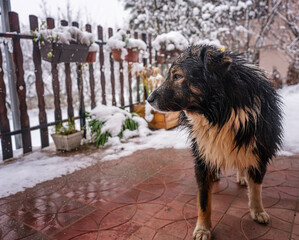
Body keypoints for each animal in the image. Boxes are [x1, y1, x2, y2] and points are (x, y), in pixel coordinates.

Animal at [148, 45, 284, 240]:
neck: (222, 114)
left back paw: (243, 177)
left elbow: (256, 189)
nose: (148, 99)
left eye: (178, 76)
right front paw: (203, 229)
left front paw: (258, 211)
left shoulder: (260, 152)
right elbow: (203, 201)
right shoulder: (203, 155)